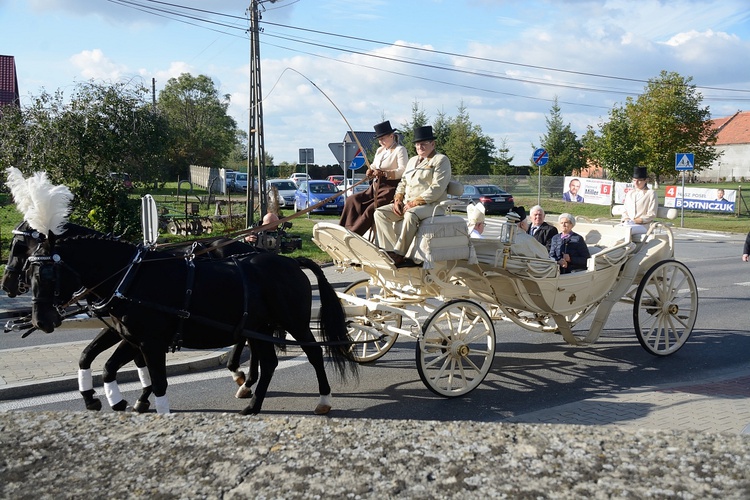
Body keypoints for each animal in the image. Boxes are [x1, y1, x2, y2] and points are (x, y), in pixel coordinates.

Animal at [1, 221, 264, 412]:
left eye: (19, 247)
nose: (7, 286)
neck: (125, 274)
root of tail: (249, 248)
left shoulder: (143, 335)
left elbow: (121, 363)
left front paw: (135, 397)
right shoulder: (120, 329)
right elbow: (89, 356)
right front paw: (95, 397)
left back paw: (243, 377)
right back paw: (244, 379)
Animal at [29, 233, 358, 414]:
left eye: (47, 274)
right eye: (28, 271)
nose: (40, 320)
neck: (131, 277)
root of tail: (291, 261)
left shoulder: (149, 341)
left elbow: (157, 380)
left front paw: (151, 407)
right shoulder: (131, 336)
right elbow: (103, 364)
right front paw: (110, 400)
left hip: (295, 324)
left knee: (314, 353)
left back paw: (323, 399)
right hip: (261, 328)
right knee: (268, 362)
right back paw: (252, 403)